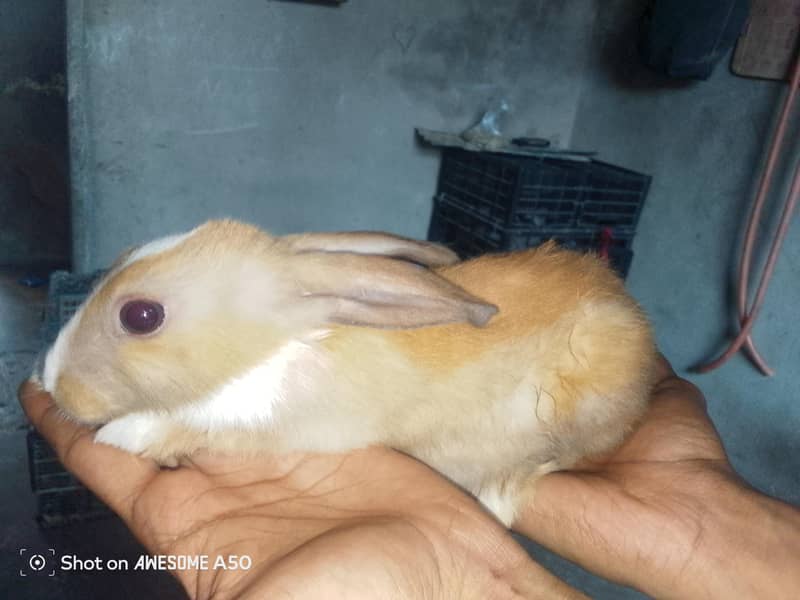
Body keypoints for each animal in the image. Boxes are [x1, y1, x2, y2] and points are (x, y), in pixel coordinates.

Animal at [32, 219, 657, 526]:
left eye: (140, 317)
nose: (52, 379)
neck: (270, 350)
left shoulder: (265, 424)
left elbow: (187, 425)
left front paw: (124, 434)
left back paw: (498, 494)